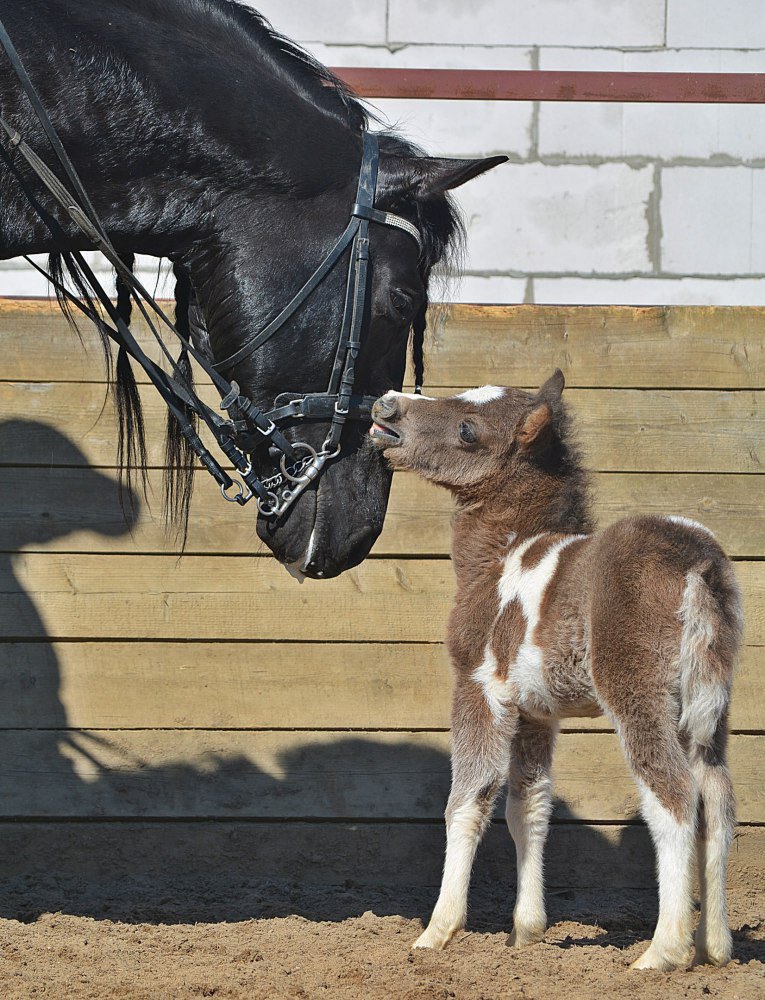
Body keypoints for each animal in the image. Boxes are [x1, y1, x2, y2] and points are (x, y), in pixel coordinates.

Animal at [370, 374, 740, 968]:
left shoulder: (479, 687)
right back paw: (716, 947)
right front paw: (525, 933)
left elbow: (467, 800)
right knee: (717, 796)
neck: (499, 560)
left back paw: (663, 951)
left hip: (638, 691)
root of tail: (698, 563)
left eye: (468, 430)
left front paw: (437, 932)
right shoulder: (536, 711)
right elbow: (529, 806)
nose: (387, 406)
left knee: (673, 794)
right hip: (709, 702)